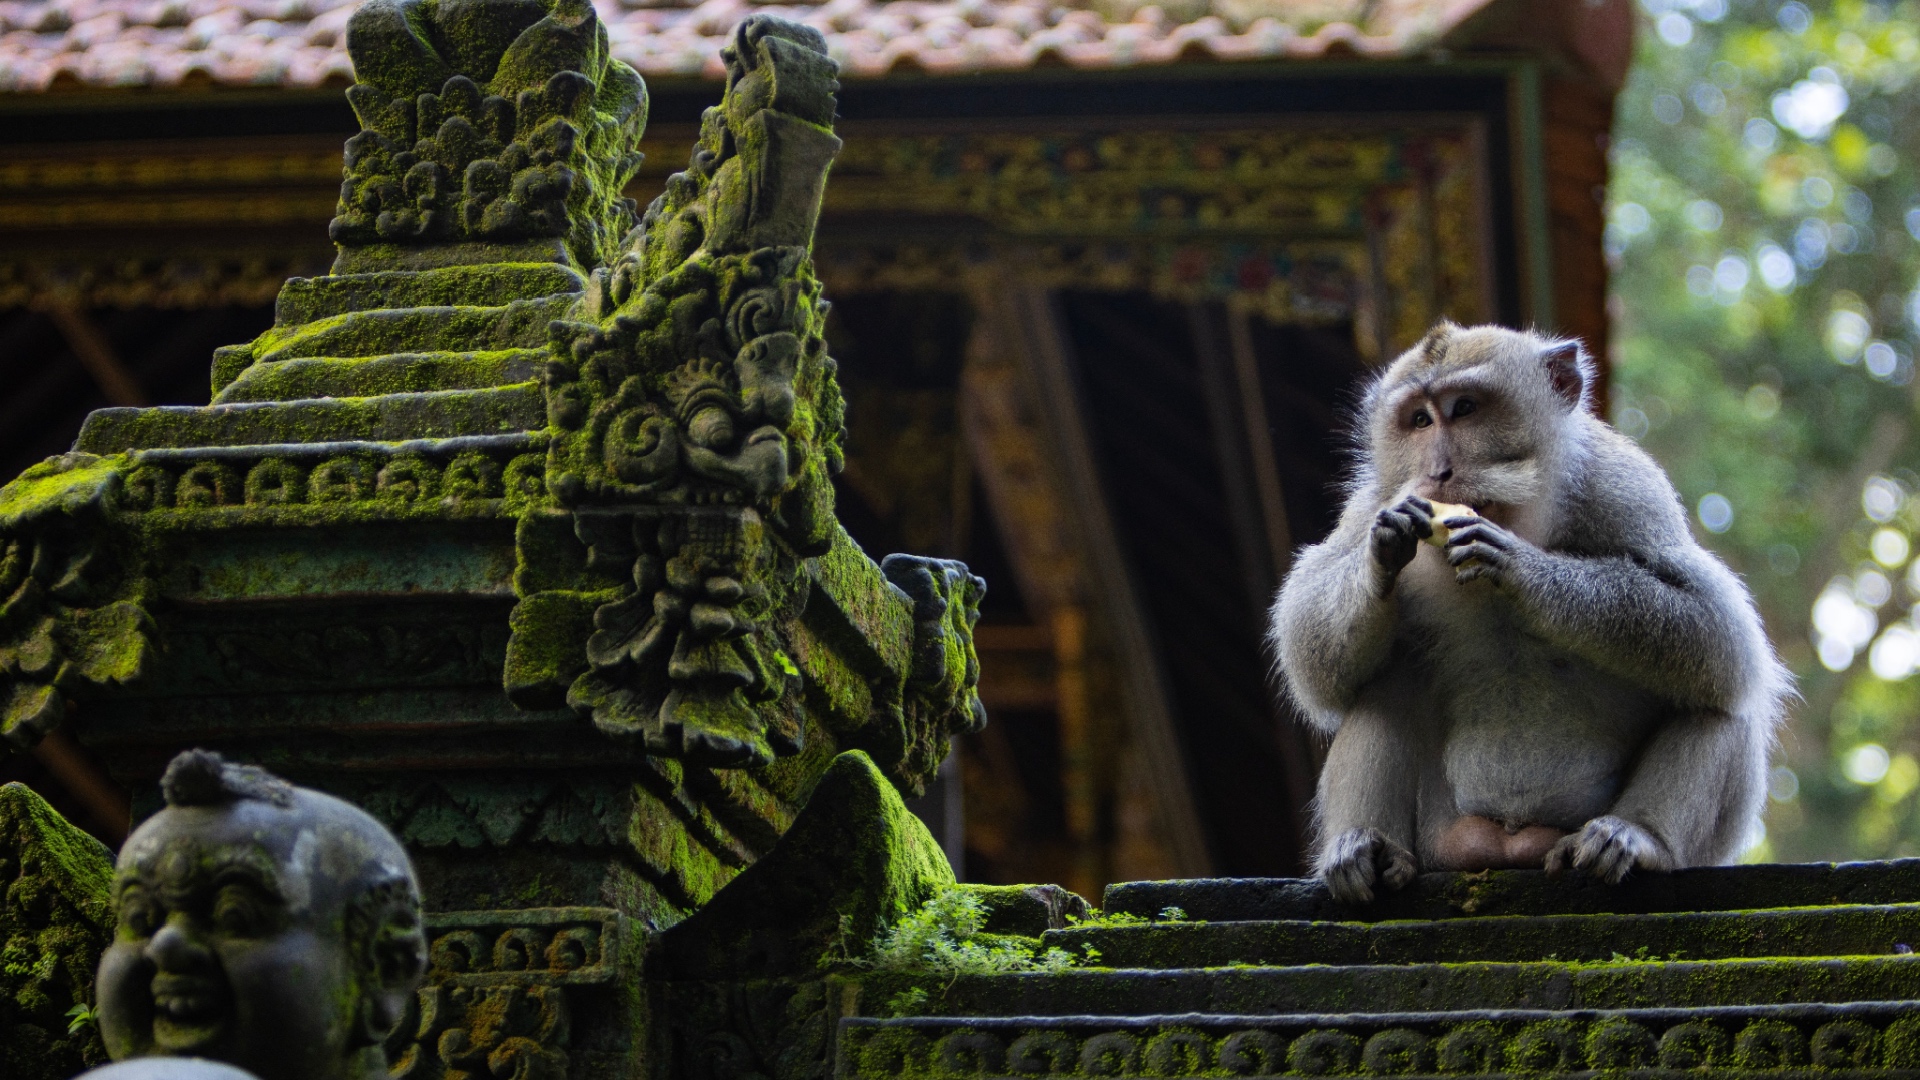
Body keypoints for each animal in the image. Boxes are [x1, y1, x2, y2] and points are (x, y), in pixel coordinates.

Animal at [1268, 323, 1791, 904]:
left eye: (1465, 409)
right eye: (1420, 421)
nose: (1437, 471)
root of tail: (1510, 842)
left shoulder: (1625, 486)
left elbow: (1714, 622)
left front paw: (1520, 567)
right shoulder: (1367, 505)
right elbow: (1312, 649)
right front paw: (1382, 549)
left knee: (1719, 695)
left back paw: (1638, 838)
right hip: (1440, 834)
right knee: (1380, 690)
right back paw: (1371, 850)